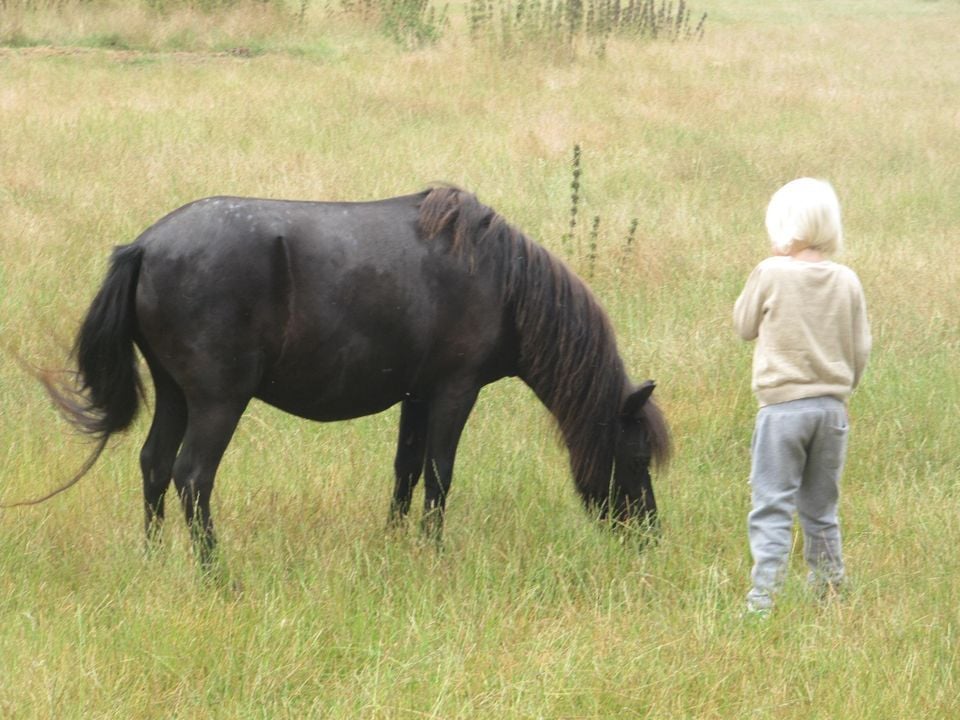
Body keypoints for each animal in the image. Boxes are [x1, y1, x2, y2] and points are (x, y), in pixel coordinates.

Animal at [18, 187, 672, 568]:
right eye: (638, 457)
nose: (650, 537)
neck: (498, 277)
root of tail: (145, 247)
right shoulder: (454, 391)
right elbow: (440, 474)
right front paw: (433, 554)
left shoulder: (417, 395)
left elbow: (406, 471)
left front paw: (395, 544)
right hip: (218, 401)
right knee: (191, 476)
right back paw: (214, 573)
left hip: (175, 393)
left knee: (154, 466)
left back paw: (155, 560)